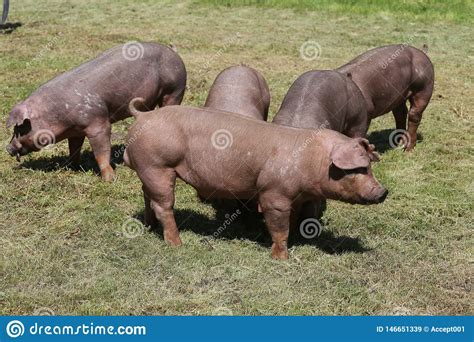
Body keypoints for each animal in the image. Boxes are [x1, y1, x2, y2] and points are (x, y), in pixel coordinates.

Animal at [6, 41, 187, 180]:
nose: (8, 148)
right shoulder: (75, 131)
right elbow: (74, 148)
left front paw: (109, 179)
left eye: (20, 128)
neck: (55, 113)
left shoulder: (98, 123)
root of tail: (173, 52)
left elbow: (101, 152)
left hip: (175, 89)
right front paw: (71, 167)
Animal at [124, 98, 386, 260]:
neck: (312, 159)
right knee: (163, 204)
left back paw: (148, 227)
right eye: (359, 168)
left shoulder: (295, 197)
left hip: (147, 169)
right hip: (157, 165)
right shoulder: (273, 194)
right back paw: (177, 243)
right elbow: (279, 228)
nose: (383, 191)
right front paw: (282, 259)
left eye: (369, 166)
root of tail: (143, 116)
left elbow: (292, 221)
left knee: (146, 195)